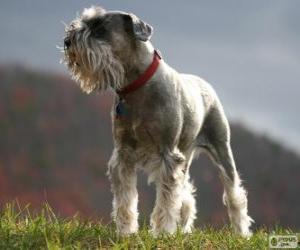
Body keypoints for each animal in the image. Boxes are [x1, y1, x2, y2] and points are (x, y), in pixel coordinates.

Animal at [62, 5, 253, 236]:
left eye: (100, 27)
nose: (67, 41)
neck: (136, 87)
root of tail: (204, 83)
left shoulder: (167, 155)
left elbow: (166, 201)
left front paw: (162, 232)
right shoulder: (123, 154)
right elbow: (126, 199)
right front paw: (125, 231)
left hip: (221, 149)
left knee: (234, 194)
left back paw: (241, 232)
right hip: (186, 154)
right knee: (186, 197)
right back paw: (184, 229)